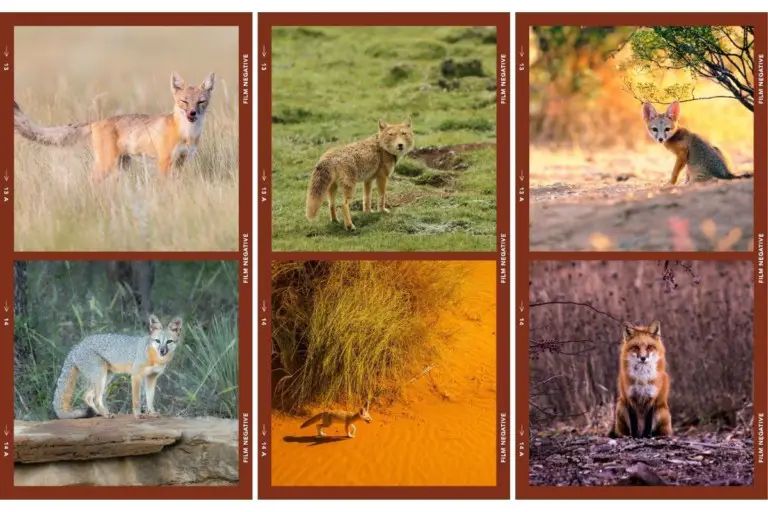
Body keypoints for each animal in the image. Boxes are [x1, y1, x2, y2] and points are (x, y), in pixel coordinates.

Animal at [14, 71, 215, 181]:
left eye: (201, 102)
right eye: (184, 102)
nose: (192, 114)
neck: (187, 134)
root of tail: (96, 121)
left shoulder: (182, 161)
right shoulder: (164, 161)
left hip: (120, 166)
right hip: (106, 165)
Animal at [52, 314, 182, 420]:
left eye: (169, 342)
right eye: (157, 341)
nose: (162, 350)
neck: (153, 357)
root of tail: (77, 346)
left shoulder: (151, 378)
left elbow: (150, 399)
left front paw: (152, 412)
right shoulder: (136, 376)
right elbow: (136, 400)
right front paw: (137, 415)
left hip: (106, 378)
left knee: (87, 396)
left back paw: (100, 413)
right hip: (101, 377)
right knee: (95, 398)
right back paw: (106, 414)